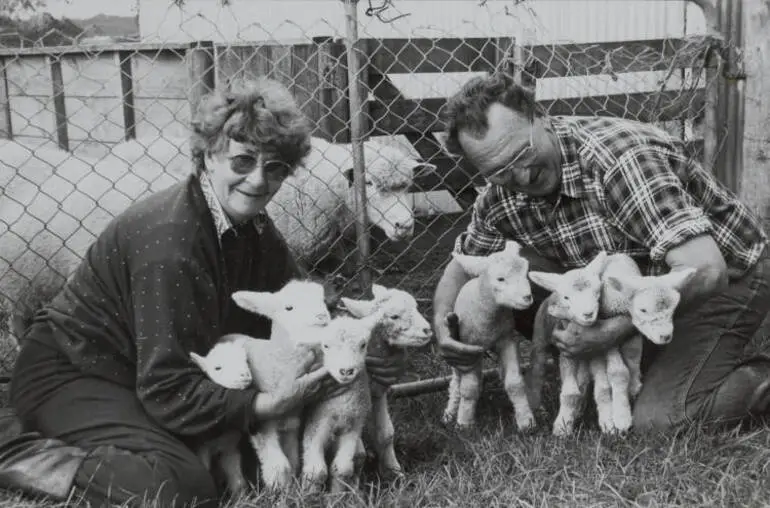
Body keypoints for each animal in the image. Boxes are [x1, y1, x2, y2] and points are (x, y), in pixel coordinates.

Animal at [438, 242, 536, 432]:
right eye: (500, 279)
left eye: (525, 273)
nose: (527, 297)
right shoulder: (468, 348)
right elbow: (469, 388)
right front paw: (464, 424)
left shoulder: (507, 340)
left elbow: (514, 383)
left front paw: (526, 421)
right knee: (456, 382)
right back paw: (450, 413)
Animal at [528, 252, 696, 434]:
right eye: (643, 309)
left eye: (673, 311)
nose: (665, 336)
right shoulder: (607, 339)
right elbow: (618, 372)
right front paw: (622, 416)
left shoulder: (630, 333)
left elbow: (633, 357)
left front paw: (634, 386)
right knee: (538, 365)